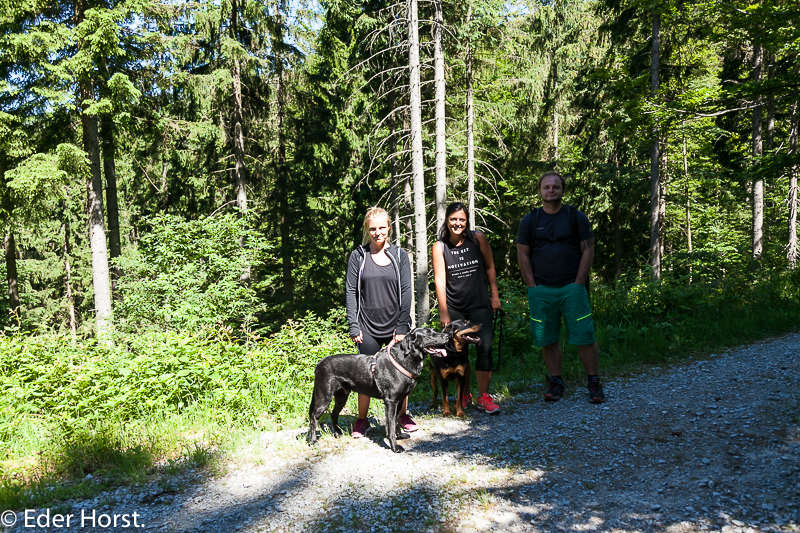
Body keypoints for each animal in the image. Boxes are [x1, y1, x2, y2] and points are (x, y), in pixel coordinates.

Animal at [308, 326, 450, 450]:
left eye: (433, 331)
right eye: (428, 334)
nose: (447, 336)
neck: (405, 359)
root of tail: (319, 363)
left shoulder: (399, 400)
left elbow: (396, 420)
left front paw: (399, 435)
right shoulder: (391, 402)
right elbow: (390, 425)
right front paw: (394, 446)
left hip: (342, 396)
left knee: (333, 414)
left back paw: (337, 433)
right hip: (324, 397)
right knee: (314, 418)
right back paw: (312, 441)